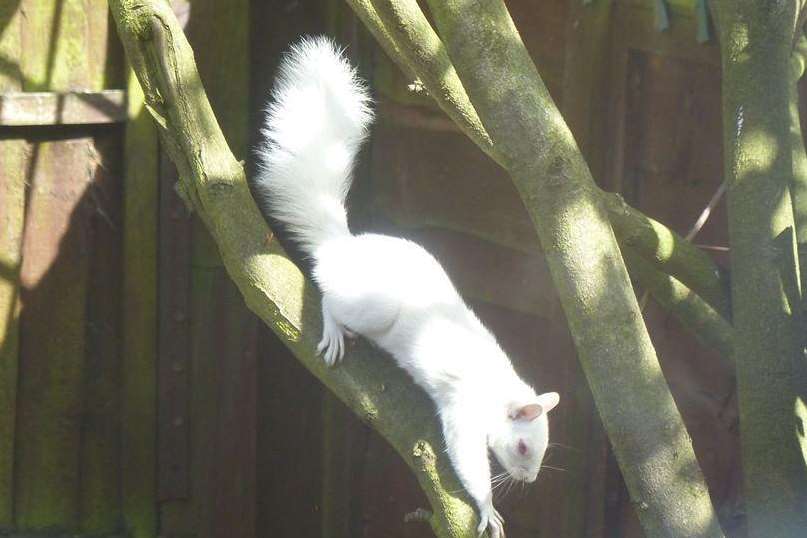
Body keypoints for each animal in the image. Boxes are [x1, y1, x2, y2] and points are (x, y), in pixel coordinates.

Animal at [256, 35, 560, 532]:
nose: (530, 480)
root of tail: (341, 248)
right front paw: (487, 507)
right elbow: (465, 459)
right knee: (330, 299)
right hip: (371, 304)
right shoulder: (462, 412)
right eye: (521, 445)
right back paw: (335, 328)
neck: (497, 389)